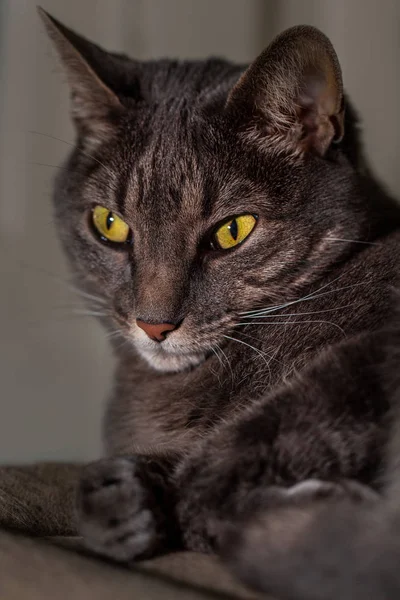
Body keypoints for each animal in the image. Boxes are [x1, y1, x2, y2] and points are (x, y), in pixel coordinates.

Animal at [28, 7, 400, 596]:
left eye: (232, 231)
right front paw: (118, 500)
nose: (154, 325)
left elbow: (224, 463)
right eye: (109, 224)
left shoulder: (365, 353)